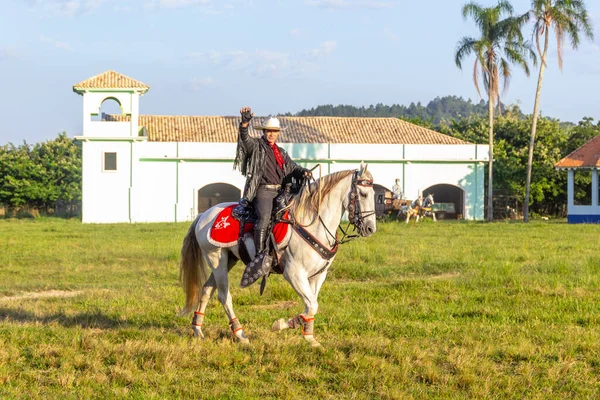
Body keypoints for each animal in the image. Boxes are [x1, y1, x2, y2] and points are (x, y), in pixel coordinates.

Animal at [177, 162, 376, 346]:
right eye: (363, 194)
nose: (370, 229)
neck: (313, 223)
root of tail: (204, 215)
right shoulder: (294, 274)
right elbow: (312, 305)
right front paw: (280, 325)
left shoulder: (318, 276)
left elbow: (312, 305)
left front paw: (310, 338)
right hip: (216, 258)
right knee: (224, 296)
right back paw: (240, 334)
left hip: (228, 260)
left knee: (206, 290)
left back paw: (197, 329)